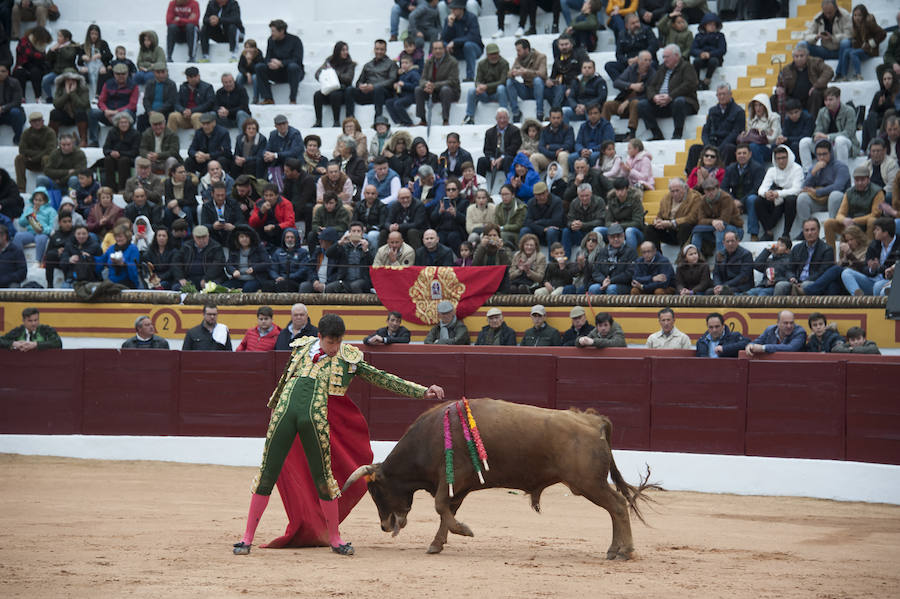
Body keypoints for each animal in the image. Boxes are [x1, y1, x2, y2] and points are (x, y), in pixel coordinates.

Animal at [344, 398, 660, 556]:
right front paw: (437, 543)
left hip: (588, 483)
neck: (430, 437)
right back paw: (613, 549)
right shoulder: (457, 486)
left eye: (376, 492)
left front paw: (464, 531)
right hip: (592, 484)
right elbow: (446, 510)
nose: (385, 526)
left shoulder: (453, 478)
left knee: (617, 506)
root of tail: (592, 420)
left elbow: (440, 507)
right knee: (615, 507)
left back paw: (625, 551)